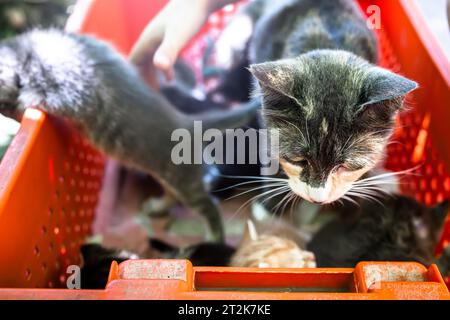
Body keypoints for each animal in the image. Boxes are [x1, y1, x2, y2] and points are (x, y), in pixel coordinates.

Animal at [0, 30, 258, 241]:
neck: (24, 52)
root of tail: (185, 121)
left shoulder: (59, 89)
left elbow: (28, 101)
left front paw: (16, 113)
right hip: (172, 175)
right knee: (174, 195)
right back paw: (158, 206)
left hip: (184, 179)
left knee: (208, 205)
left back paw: (215, 238)